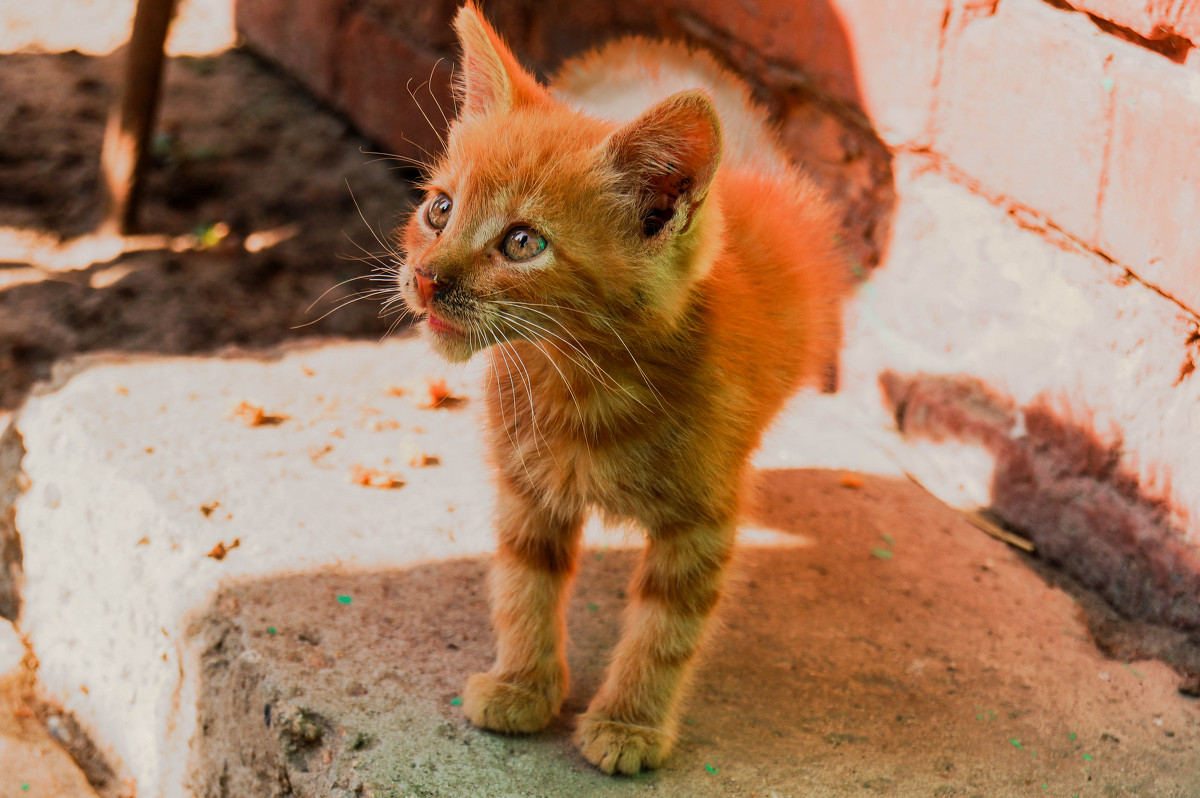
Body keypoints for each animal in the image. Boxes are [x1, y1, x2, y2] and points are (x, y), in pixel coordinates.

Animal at [393, 0, 844, 772]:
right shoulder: (527, 485)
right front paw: (523, 684)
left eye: (522, 243)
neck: (583, 382)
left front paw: (630, 724)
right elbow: (525, 584)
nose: (425, 279)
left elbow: (666, 631)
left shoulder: (703, 520)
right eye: (440, 209)